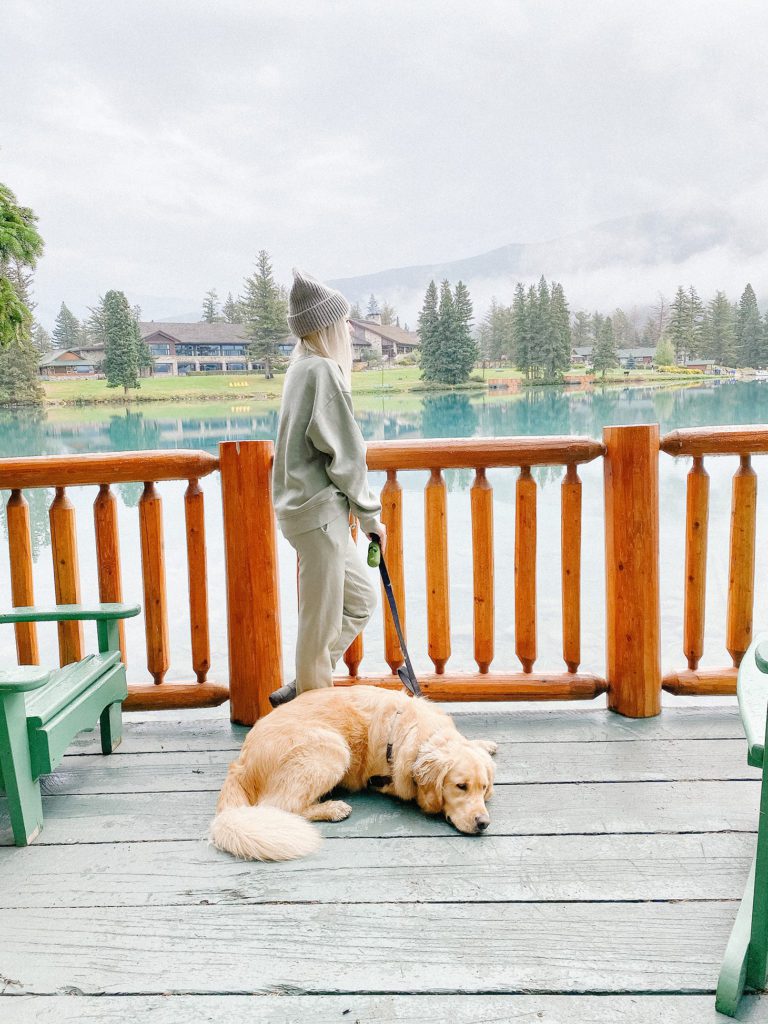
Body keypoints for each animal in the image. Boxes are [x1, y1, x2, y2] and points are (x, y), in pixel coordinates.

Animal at [210, 684, 499, 860]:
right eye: (460, 786)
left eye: (483, 788)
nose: (483, 823)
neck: (422, 738)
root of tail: (240, 764)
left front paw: (484, 744)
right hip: (333, 748)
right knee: (279, 806)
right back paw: (333, 808)